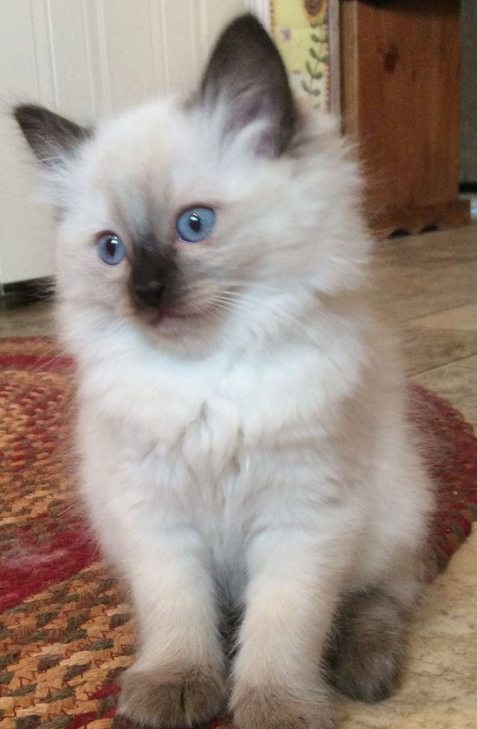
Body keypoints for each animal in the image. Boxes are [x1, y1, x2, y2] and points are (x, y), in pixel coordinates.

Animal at [14, 12, 434, 728]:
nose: (147, 293)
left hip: (392, 513)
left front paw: (278, 708)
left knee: (379, 599)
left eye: (194, 224)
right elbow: (179, 617)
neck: (207, 376)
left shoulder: (301, 518)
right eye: (111, 250)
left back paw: (363, 672)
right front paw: (175, 688)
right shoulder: (159, 521)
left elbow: (283, 629)